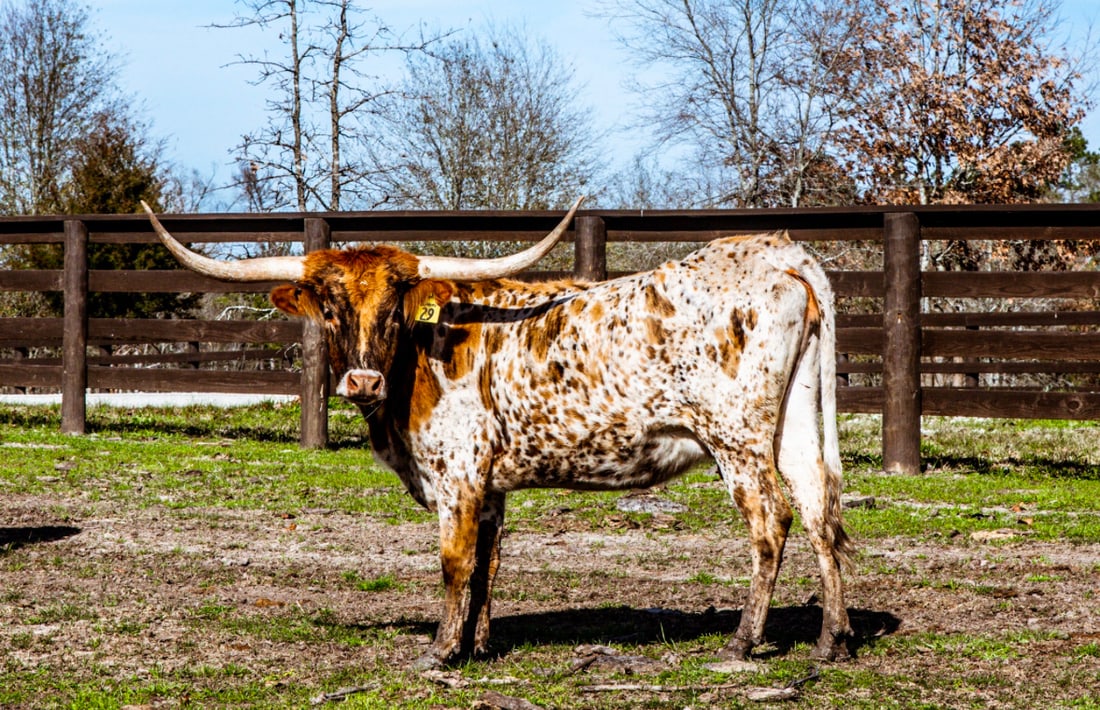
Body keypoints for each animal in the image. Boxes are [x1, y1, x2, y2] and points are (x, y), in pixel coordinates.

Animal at [141, 199, 855, 669]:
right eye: (333, 306)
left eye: (395, 305)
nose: (363, 381)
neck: (423, 351)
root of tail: (779, 251)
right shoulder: (489, 488)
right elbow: (488, 562)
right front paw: (477, 643)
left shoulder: (457, 473)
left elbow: (455, 561)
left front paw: (439, 651)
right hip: (795, 424)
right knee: (819, 508)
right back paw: (831, 640)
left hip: (734, 437)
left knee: (771, 520)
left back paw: (743, 640)